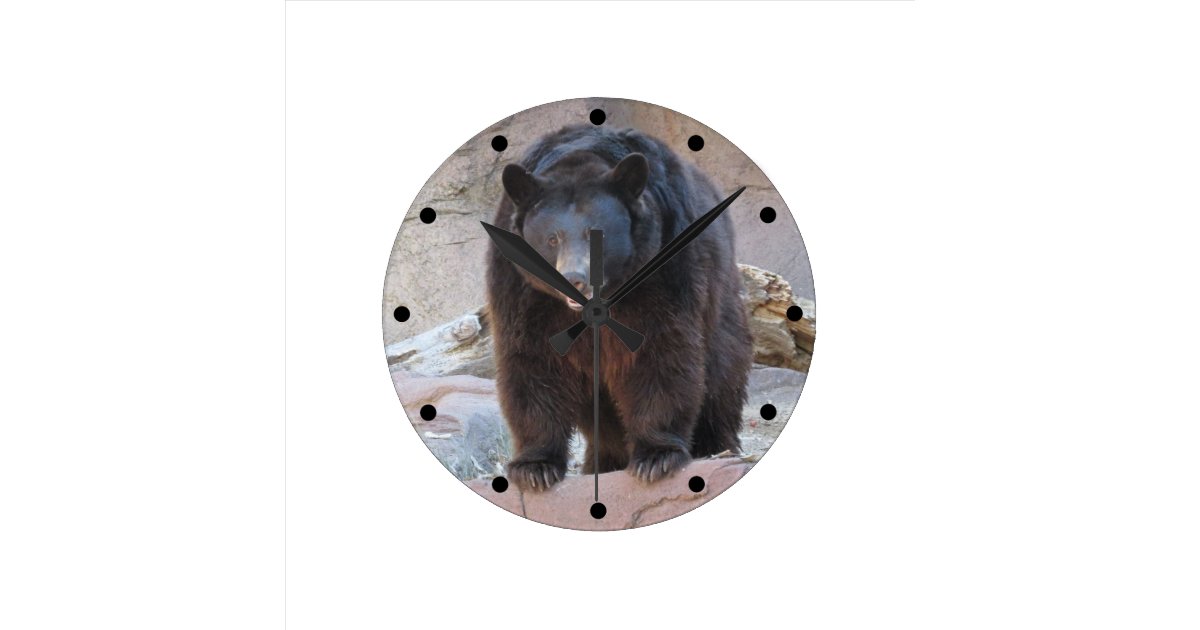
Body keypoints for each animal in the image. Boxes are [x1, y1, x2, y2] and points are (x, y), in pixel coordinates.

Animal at [485, 125, 753, 491]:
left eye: (595, 234)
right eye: (552, 239)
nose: (574, 278)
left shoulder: (664, 268)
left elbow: (660, 351)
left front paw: (656, 457)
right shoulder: (523, 290)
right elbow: (532, 361)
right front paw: (534, 467)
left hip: (720, 296)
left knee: (722, 370)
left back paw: (715, 447)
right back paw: (603, 461)